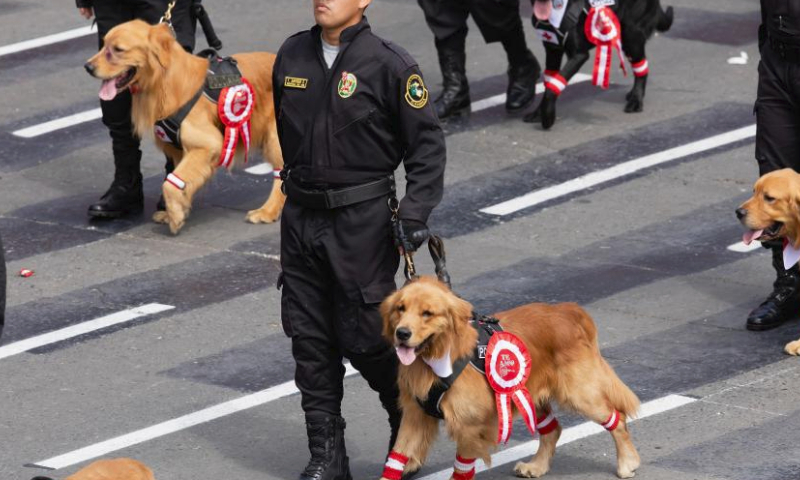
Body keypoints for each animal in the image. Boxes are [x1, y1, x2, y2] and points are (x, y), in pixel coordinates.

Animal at [83, 20, 284, 234]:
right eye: (103, 45)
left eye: (118, 49)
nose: (87, 67)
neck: (165, 81)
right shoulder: (180, 150)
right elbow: (177, 180)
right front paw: (177, 209)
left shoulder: (209, 143)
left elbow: (170, 183)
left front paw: (175, 216)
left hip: (274, 138)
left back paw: (267, 211)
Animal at [382, 278, 644, 480]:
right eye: (400, 309)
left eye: (427, 313)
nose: (402, 333)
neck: (438, 355)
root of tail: (566, 310)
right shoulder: (414, 416)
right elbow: (396, 458)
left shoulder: (469, 427)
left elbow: (461, 470)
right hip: (526, 392)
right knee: (553, 429)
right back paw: (537, 466)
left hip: (579, 394)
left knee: (617, 418)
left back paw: (626, 462)